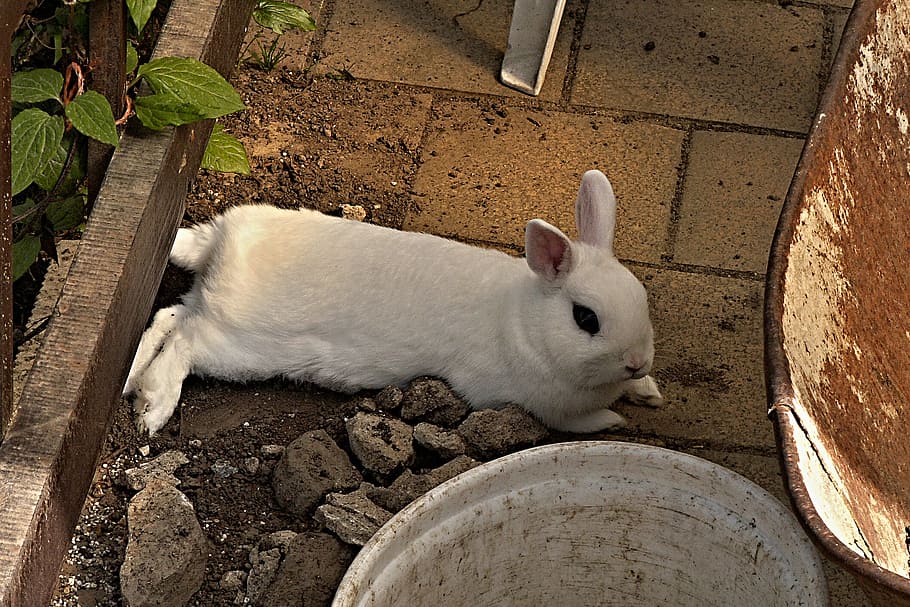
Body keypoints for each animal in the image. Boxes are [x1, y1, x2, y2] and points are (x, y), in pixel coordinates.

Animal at [123, 169, 663, 436]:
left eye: (642, 299)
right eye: (585, 319)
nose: (637, 362)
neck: (524, 320)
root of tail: (220, 244)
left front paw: (649, 392)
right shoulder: (526, 403)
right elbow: (575, 423)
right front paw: (615, 419)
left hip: (205, 307)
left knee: (168, 317)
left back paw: (131, 383)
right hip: (239, 345)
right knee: (185, 344)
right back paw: (153, 410)